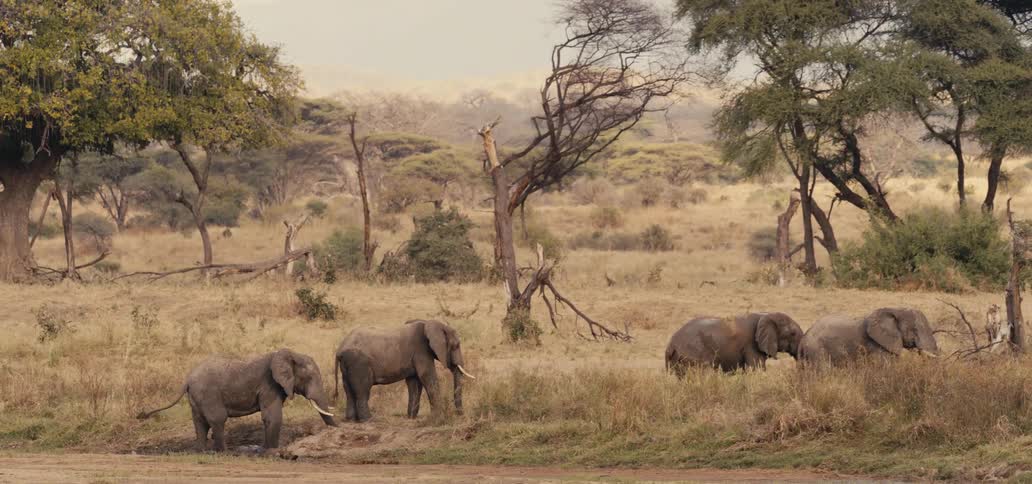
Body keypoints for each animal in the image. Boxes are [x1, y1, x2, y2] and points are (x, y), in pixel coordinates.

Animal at [137, 348, 336, 452]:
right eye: (309, 378)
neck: (290, 353)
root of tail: (187, 379)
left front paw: (265, 450)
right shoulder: (269, 385)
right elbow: (272, 416)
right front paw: (272, 452)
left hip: (196, 397)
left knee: (200, 423)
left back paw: (202, 452)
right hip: (208, 394)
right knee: (217, 419)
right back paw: (223, 453)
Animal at [334, 319, 475, 422]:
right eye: (456, 345)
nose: (461, 415)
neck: (430, 323)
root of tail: (340, 349)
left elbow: (414, 382)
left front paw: (411, 417)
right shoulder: (421, 351)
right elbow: (427, 376)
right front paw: (438, 418)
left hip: (348, 366)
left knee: (349, 391)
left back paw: (351, 420)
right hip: (359, 363)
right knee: (362, 390)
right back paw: (369, 420)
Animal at [664, 312, 803, 376]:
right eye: (793, 333)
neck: (765, 314)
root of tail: (671, 344)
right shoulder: (751, 345)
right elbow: (756, 370)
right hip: (693, 352)